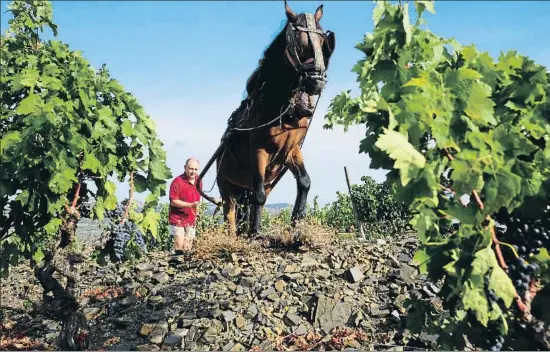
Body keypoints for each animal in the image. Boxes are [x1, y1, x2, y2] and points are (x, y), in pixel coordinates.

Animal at [198, 1, 336, 236]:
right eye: (298, 43)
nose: (316, 82)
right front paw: (256, 232)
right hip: (227, 189)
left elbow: (304, 181)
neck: (278, 106)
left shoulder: (290, 149)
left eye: (322, 42)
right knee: (231, 215)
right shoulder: (259, 151)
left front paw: (297, 220)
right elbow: (259, 195)